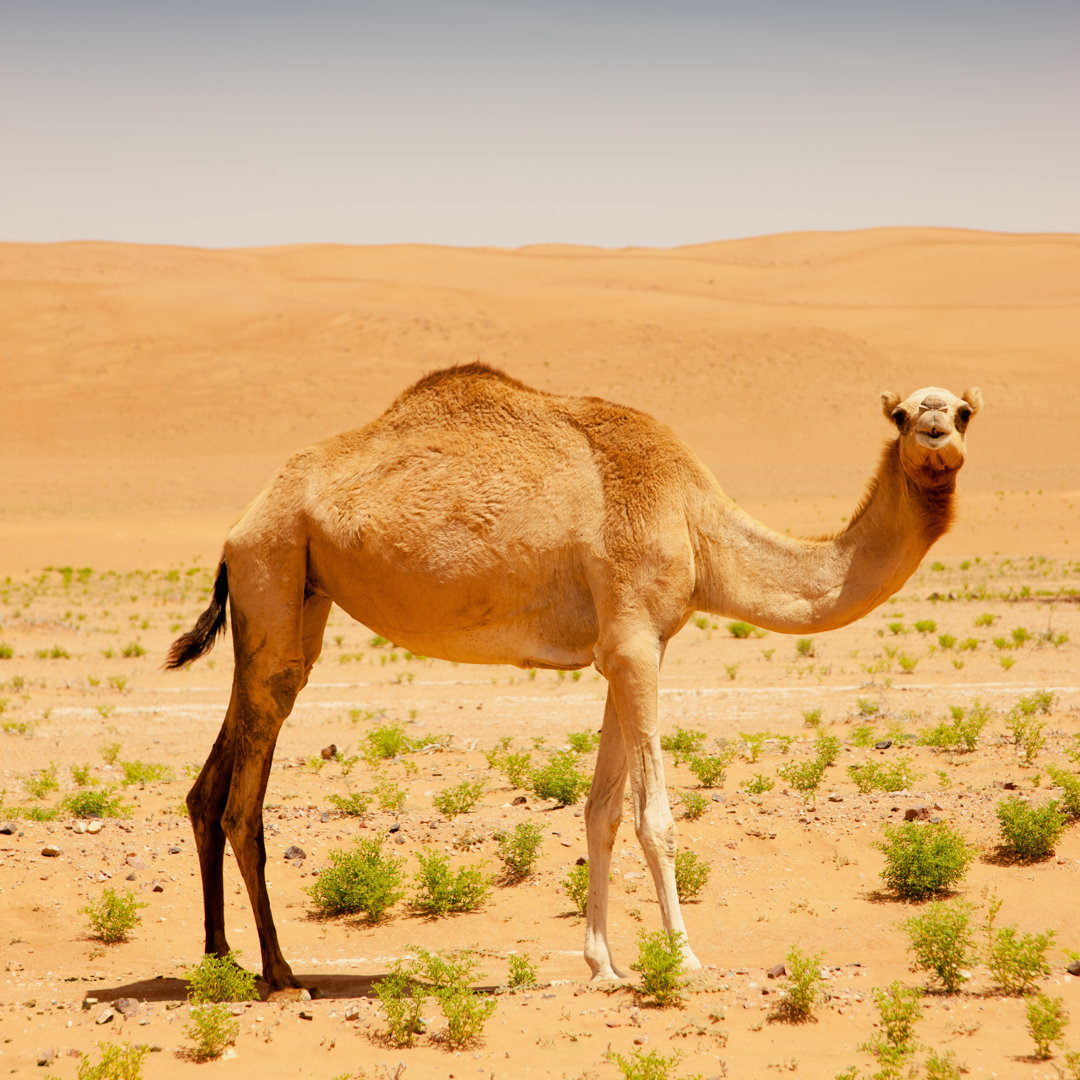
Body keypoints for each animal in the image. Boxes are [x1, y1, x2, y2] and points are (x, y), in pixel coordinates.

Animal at [166, 365, 980, 993]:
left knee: (217, 777)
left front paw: (603, 966)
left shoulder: (630, 647)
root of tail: (241, 525)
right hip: (274, 562)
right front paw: (685, 960)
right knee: (244, 800)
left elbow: (602, 813)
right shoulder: (636, 642)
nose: (937, 433)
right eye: (903, 414)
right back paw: (278, 974)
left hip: (292, 591)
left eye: (966, 409)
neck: (695, 523)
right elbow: (655, 818)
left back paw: (220, 961)